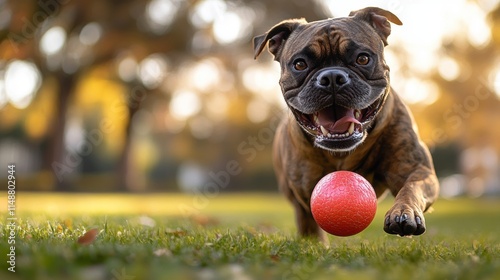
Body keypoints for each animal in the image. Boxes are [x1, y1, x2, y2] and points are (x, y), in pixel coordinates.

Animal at [254, 6, 438, 238]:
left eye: (363, 59)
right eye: (300, 64)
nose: (332, 77)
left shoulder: (416, 169)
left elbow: (411, 188)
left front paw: (404, 213)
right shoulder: (305, 196)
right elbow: (312, 227)